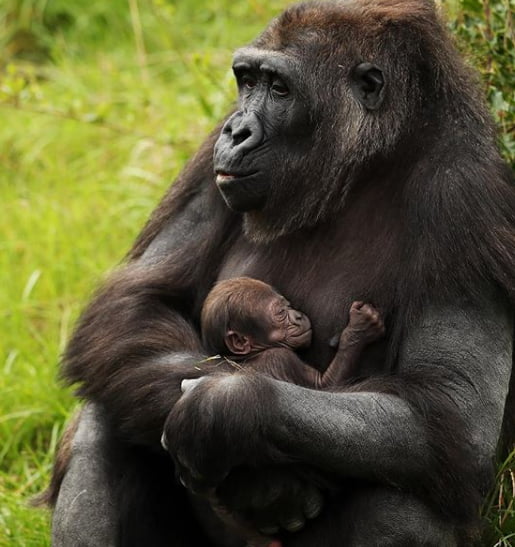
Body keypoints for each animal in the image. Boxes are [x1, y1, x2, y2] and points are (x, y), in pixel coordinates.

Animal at [200, 276, 384, 388]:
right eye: (281, 312)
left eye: (288, 305)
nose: (298, 316)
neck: (248, 355)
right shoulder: (282, 358)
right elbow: (326, 384)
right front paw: (360, 328)